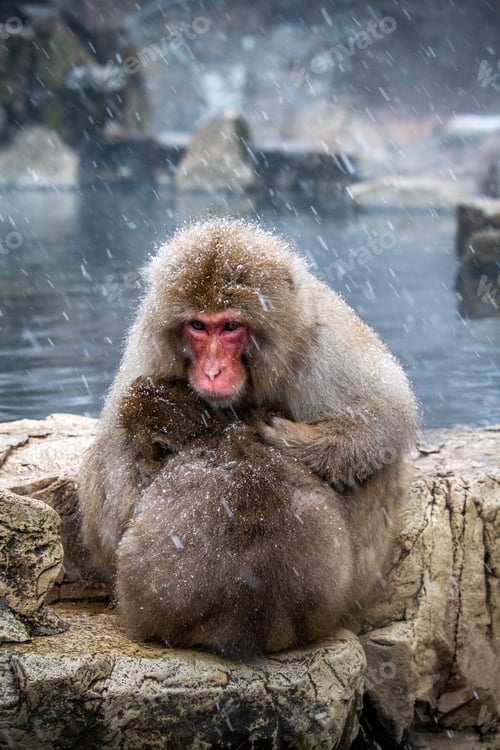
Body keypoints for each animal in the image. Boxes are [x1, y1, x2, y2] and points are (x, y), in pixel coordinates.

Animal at [77, 218, 418, 655]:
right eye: (198, 326)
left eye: (231, 327)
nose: (212, 372)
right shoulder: (150, 350)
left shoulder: (325, 339)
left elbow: (385, 415)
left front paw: (288, 439)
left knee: (378, 463)